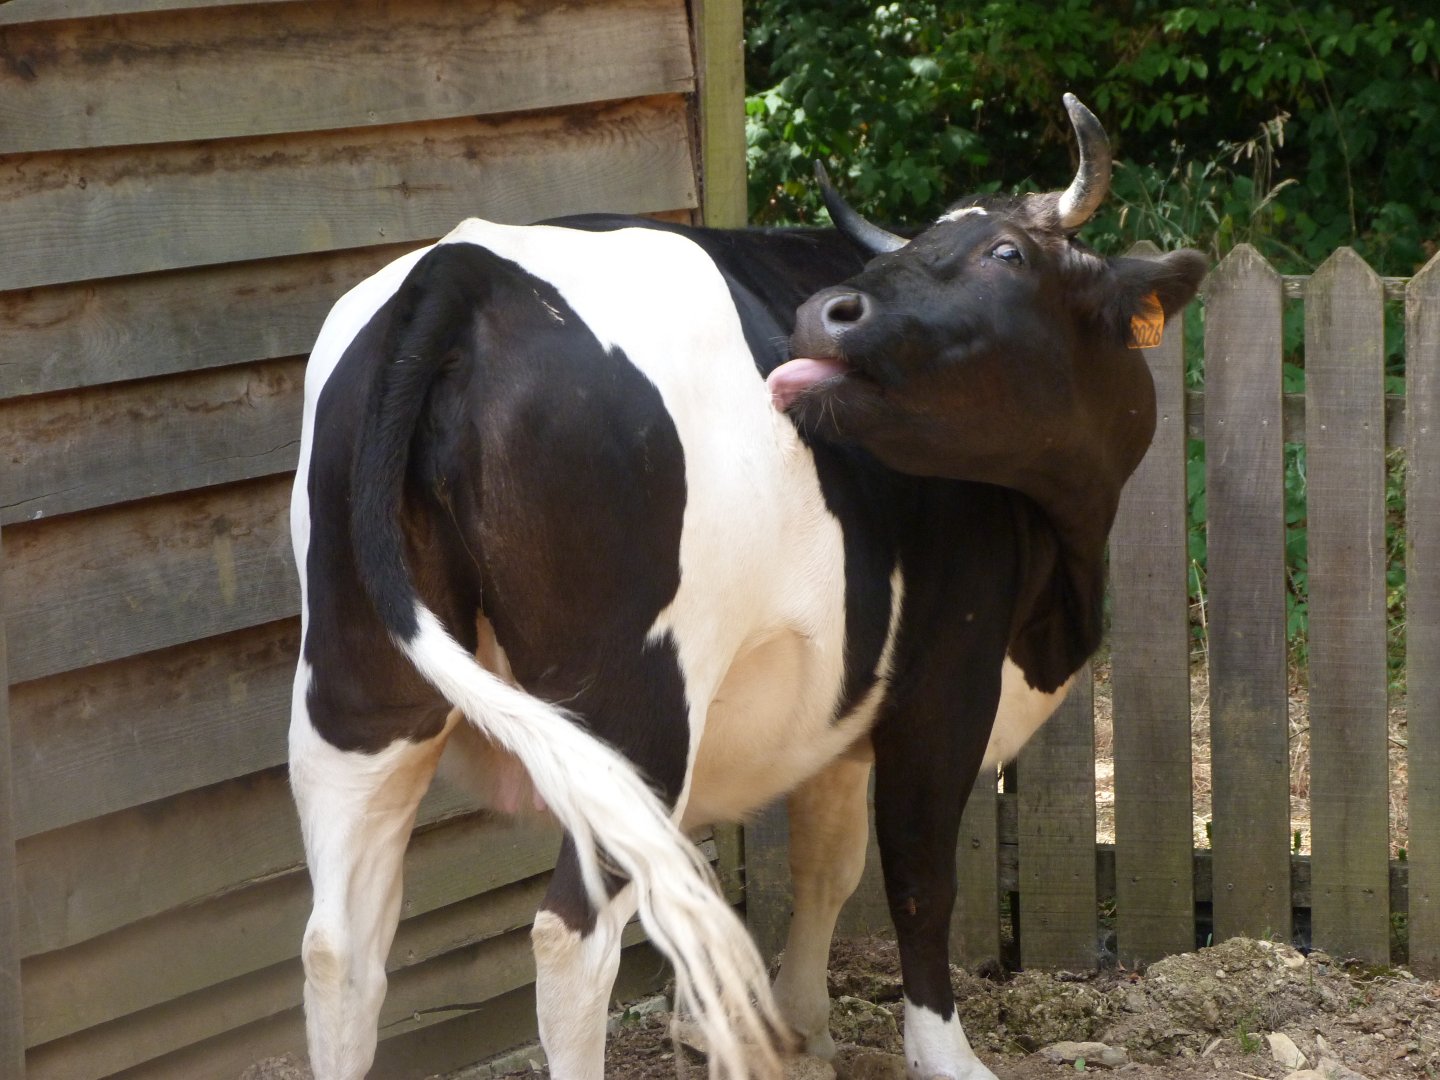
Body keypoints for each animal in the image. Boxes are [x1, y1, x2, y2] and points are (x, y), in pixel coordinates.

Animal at [289, 94, 1206, 1080]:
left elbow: (828, 863)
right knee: (571, 937)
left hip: (353, 692)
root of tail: (466, 267)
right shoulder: (944, 683)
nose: (827, 312)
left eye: (1006, 254)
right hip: (634, 717)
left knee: (339, 948)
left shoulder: (842, 702)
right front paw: (942, 1053)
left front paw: (799, 1030)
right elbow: (918, 873)